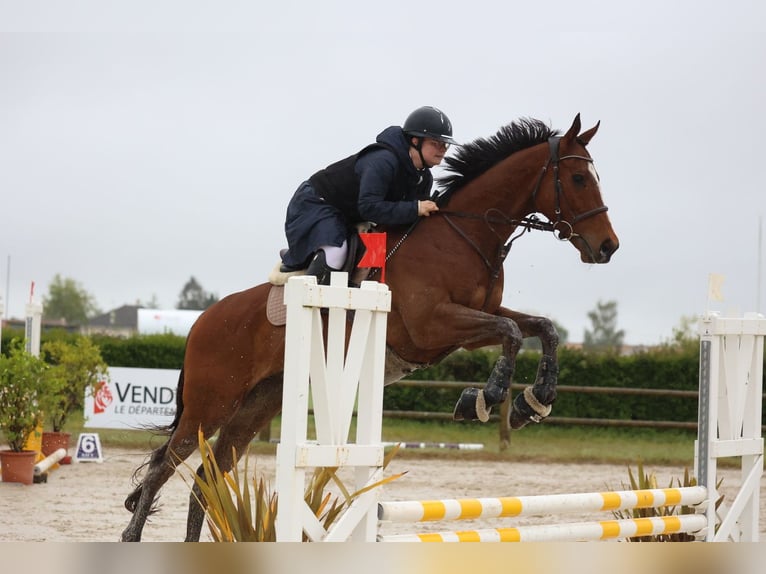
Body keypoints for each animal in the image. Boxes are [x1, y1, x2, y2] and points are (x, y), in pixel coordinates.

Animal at [121, 115, 624, 544]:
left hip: (256, 406)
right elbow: (512, 333)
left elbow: (541, 328)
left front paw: (532, 403)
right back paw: (131, 537)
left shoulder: (470, 321)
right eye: (578, 179)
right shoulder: (434, 325)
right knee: (164, 466)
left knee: (207, 477)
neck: (463, 237)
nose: (607, 247)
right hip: (211, 404)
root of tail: (201, 321)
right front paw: (485, 399)